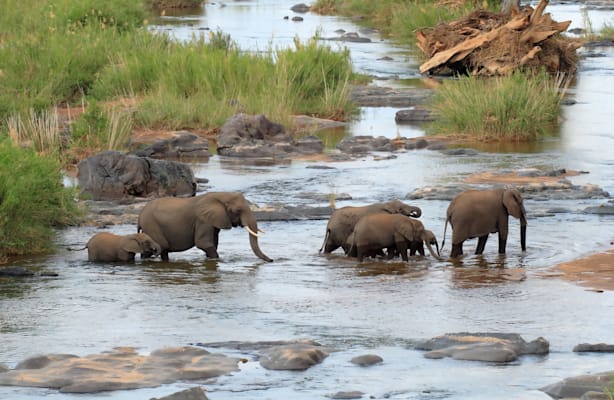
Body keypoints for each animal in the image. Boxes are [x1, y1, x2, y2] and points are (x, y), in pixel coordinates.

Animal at [141, 191, 276, 262]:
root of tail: (140, 217)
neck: (220, 195)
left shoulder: (214, 221)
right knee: (160, 247)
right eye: (237, 210)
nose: (272, 260)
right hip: (151, 226)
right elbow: (204, 243)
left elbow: (213, 243)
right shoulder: (202, 220)